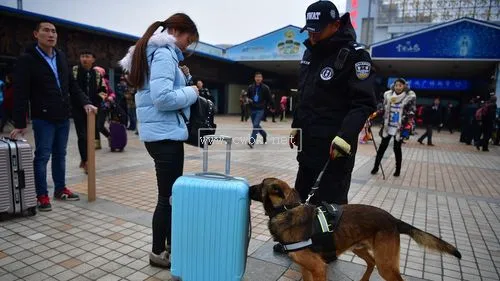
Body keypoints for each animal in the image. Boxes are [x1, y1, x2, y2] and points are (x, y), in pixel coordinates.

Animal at [250, 178, 460, 278]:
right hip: (359, 248)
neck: (286, 209)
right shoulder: (307, 269)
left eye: (261, 185)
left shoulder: (318, 268)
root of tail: (393, 219)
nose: (248, 186)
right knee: (371, 262)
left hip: (386, 265)